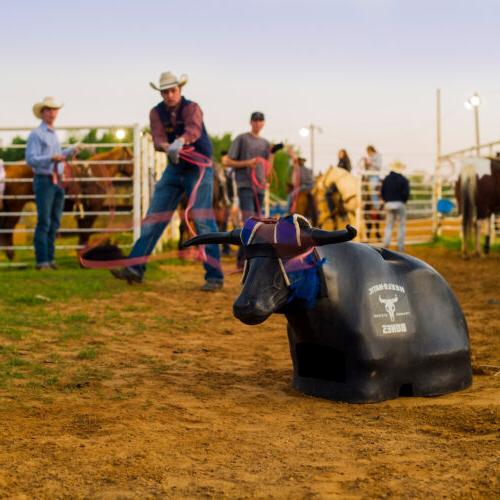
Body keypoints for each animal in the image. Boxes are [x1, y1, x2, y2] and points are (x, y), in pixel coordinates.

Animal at [0, 146, 134, 260]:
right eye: (131, 158)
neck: (96, 176)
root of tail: (8, 168)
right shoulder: (92, 210)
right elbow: (86, 231)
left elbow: (82, 231)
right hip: (15, 207)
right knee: (8, 228)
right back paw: (11, 255)